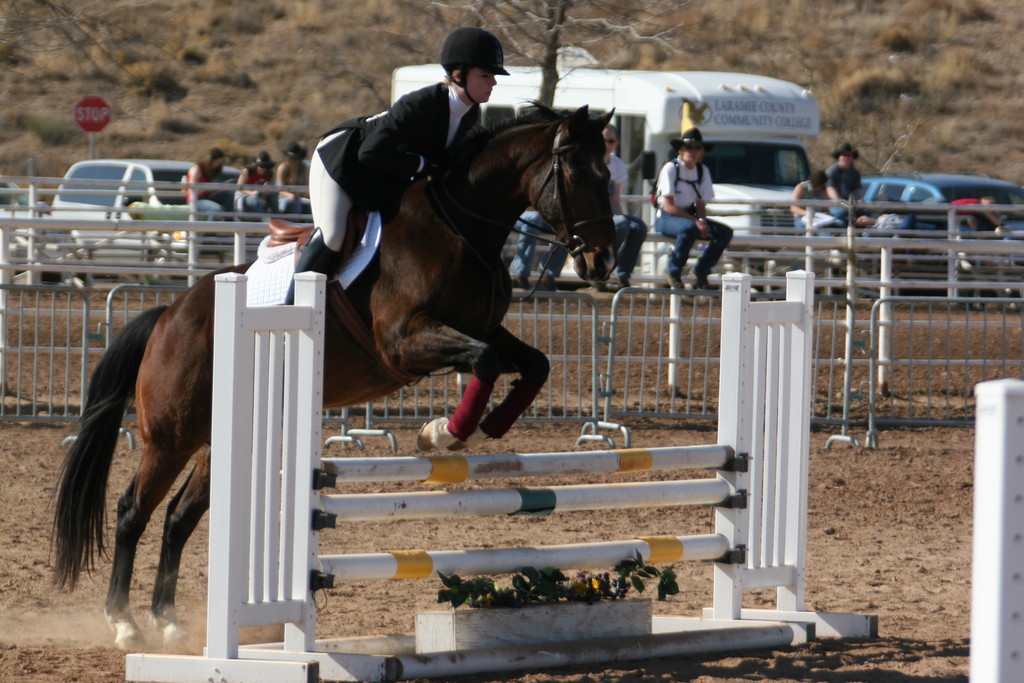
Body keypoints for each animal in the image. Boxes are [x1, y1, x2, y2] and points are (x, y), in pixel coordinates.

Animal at [51, 104, 614, 651]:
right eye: (577, 172)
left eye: (609, 172)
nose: (601, 262)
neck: (461, 227)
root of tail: (167, 315)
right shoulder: (404, 340)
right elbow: (487, 361)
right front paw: (445, 433)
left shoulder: (482, 330)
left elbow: (529, 363)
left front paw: (485, 428)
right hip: (172, 436)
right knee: (133, 512)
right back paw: (124, 624)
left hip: (222, 438)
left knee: (178, 518)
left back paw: (168, 623)